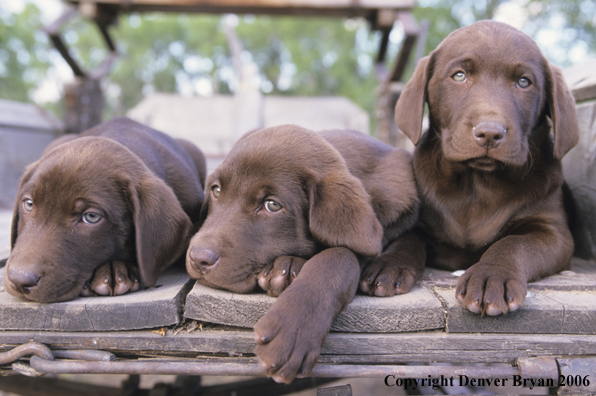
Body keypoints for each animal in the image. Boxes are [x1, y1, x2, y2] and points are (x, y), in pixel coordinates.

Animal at [186, 125, 424, 382]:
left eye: (272, 205)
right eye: (216, 190)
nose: (197, 258)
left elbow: (339, 256)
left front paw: (293, 328)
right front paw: (287, 270)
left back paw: (390, 268)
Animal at [396, 20, 576, 316]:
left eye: (524, 82)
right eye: (459, 76)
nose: (490, 133)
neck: (477, 183)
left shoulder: (553, 232)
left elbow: (513, 243)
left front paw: (492, 275)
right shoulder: (421, 221)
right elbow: (407, 237)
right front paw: (389, 265)